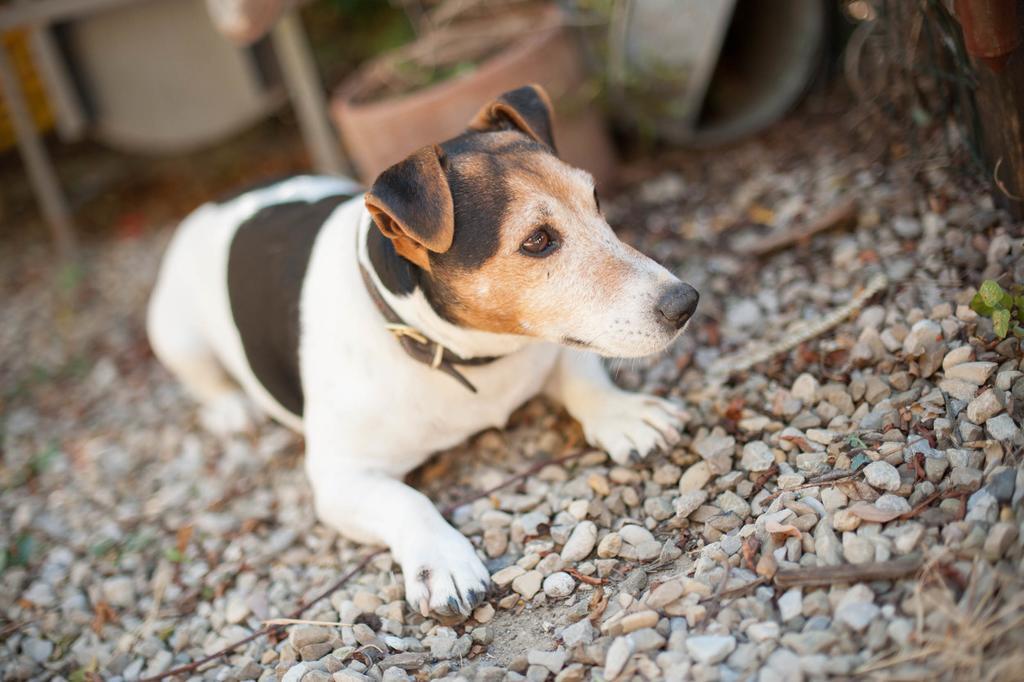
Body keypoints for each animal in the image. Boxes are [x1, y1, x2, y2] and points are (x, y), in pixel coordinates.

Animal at [148, 83, 700, 614]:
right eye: (538, 240)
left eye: (597, 200)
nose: (685, 302)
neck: (458, 351)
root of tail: (217, 200)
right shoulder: (341, 477)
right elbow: (406, 501)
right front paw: (443, 561)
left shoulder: (554, 341)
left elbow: (582, 374)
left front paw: (623, 413)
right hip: (176, 333)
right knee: (206, 379)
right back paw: (230, 410)